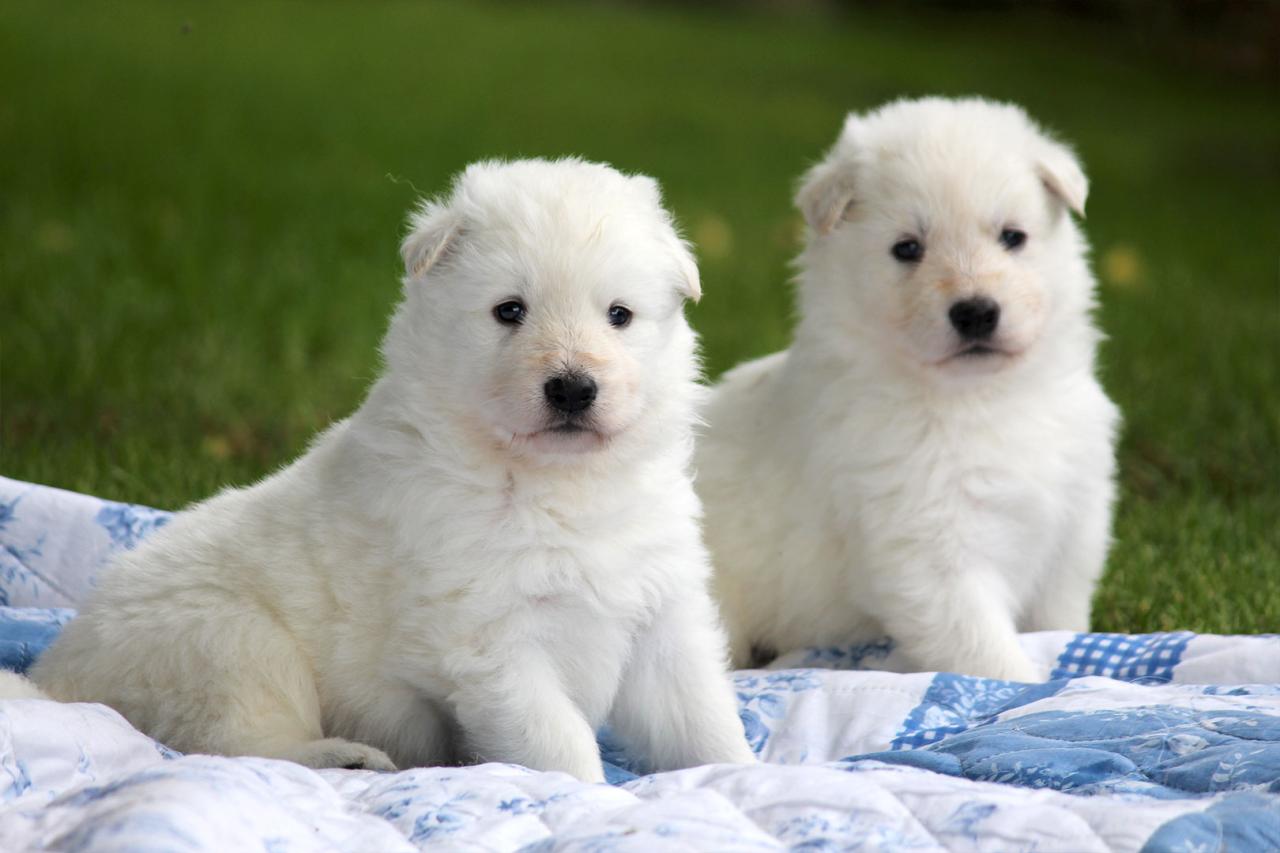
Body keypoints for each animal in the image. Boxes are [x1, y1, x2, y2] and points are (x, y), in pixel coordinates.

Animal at [30, 156, 752, 778]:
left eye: (620, 315)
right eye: (509, 310)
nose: (573, 388)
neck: (558, 483)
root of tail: (56, 677)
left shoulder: (663, 615)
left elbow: (705, 718)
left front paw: (742, 776)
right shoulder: (495, 644)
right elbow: (561, 746)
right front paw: (589, 798)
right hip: (230, 645)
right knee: (237, 745)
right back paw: (348, 756)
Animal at [701, 99, 1121, 681]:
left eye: (1013, 237)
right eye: (907, 249)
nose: (976, 312)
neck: (982, 398)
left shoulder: (1073, 527)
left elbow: (1060, 618)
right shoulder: (931, 553)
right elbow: (988, 652)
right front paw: (1028, 691)